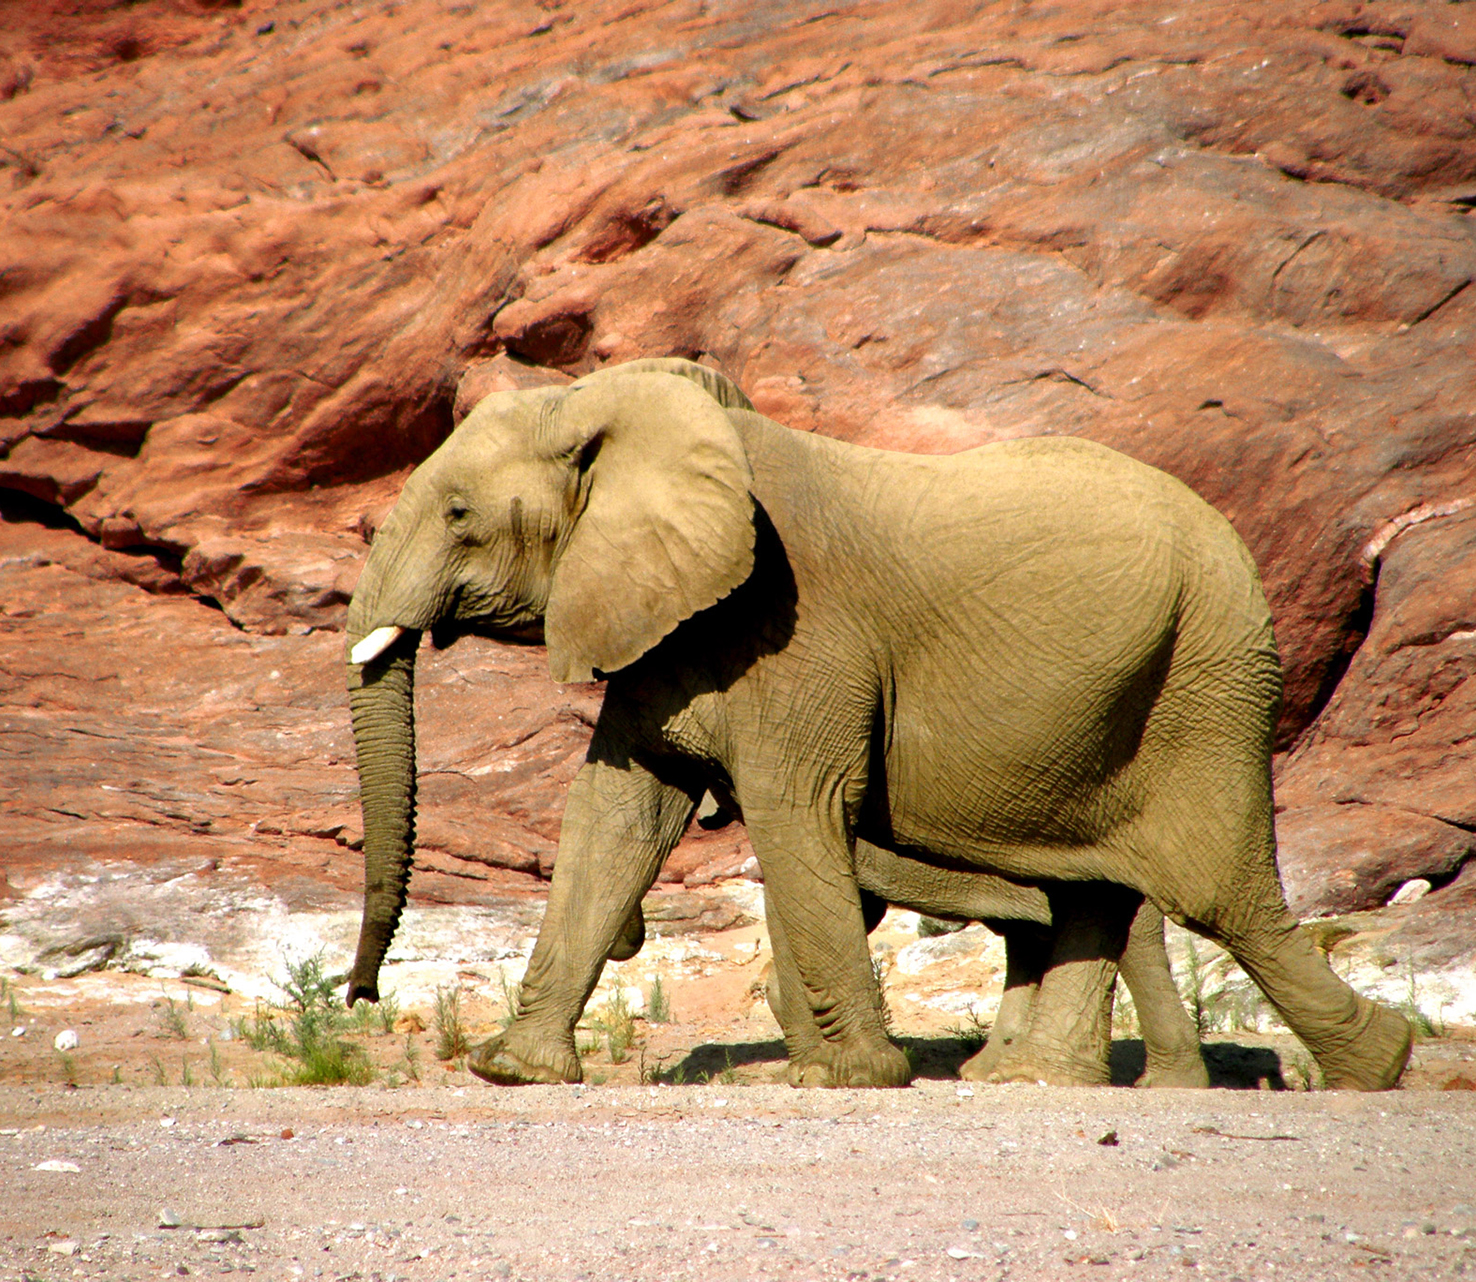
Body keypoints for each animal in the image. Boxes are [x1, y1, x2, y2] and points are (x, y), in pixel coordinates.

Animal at [339, 355, 1411, 1085]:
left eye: (460, 515)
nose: (359, 996)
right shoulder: (668, 624)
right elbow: (617, 814)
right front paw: (514, 1072)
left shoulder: (796, 627)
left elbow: (795, 809)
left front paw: (853, 1078)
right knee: (1100, 893)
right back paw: (1031, 1084)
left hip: (1208, 677)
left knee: (1217, 896)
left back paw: (1382, 1066)